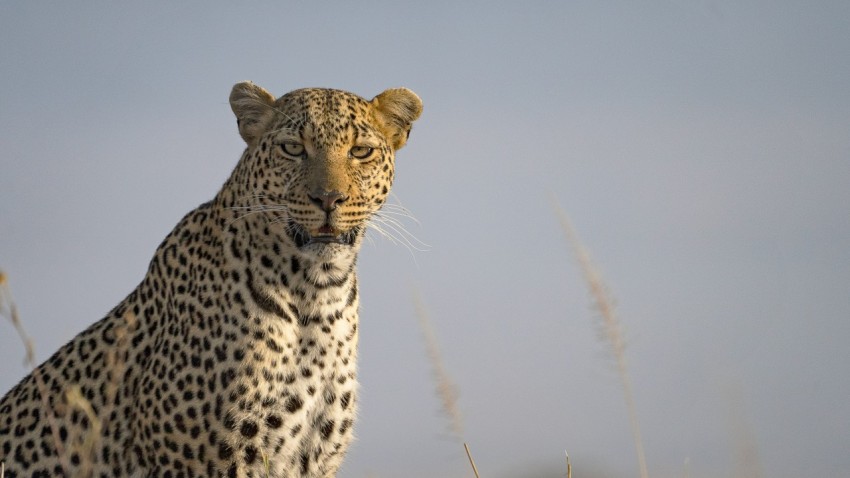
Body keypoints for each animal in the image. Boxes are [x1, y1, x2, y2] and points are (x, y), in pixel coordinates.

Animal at [0, 80, 422, 476]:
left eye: (360, 151)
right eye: (292, 148)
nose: (329, 199)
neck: (316, 293)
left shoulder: (315, 457)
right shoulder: (202, 459)